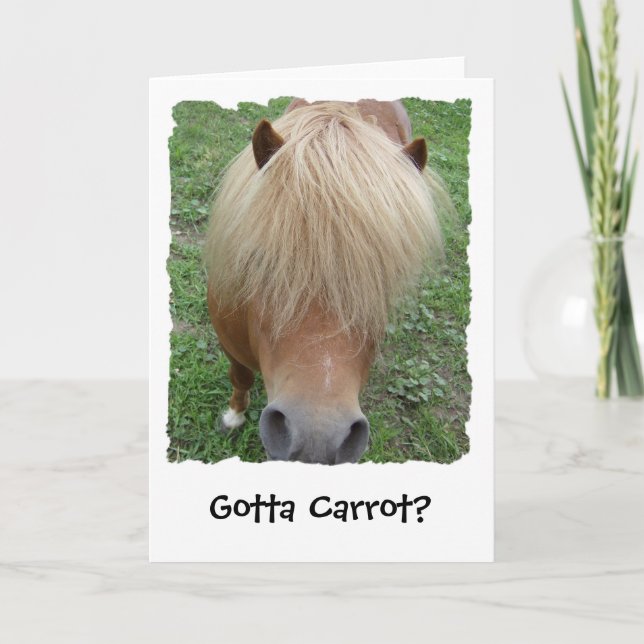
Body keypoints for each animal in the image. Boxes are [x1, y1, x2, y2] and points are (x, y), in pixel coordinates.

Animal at [205, 99, 444, 464]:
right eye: (260, 258)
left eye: (384, 278)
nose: (318, 438)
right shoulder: (230, 344)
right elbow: (240, 375)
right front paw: (234, 416)